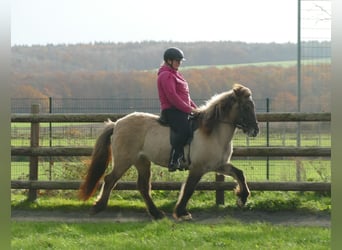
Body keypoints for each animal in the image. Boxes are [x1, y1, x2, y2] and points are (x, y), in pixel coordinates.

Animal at [78, 83, 260, 221]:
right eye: (246, 107)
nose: (255, 130)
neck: (213, 131)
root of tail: (116, 124)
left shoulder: (219, 165)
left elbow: (240, 173)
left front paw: (242, 197)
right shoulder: (198, 167)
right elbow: (189, 188)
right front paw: (181, 212)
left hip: (141, 161)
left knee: (142, 186)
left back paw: (156, 213)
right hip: (124, 160)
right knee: (110, 179)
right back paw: (98, 207)